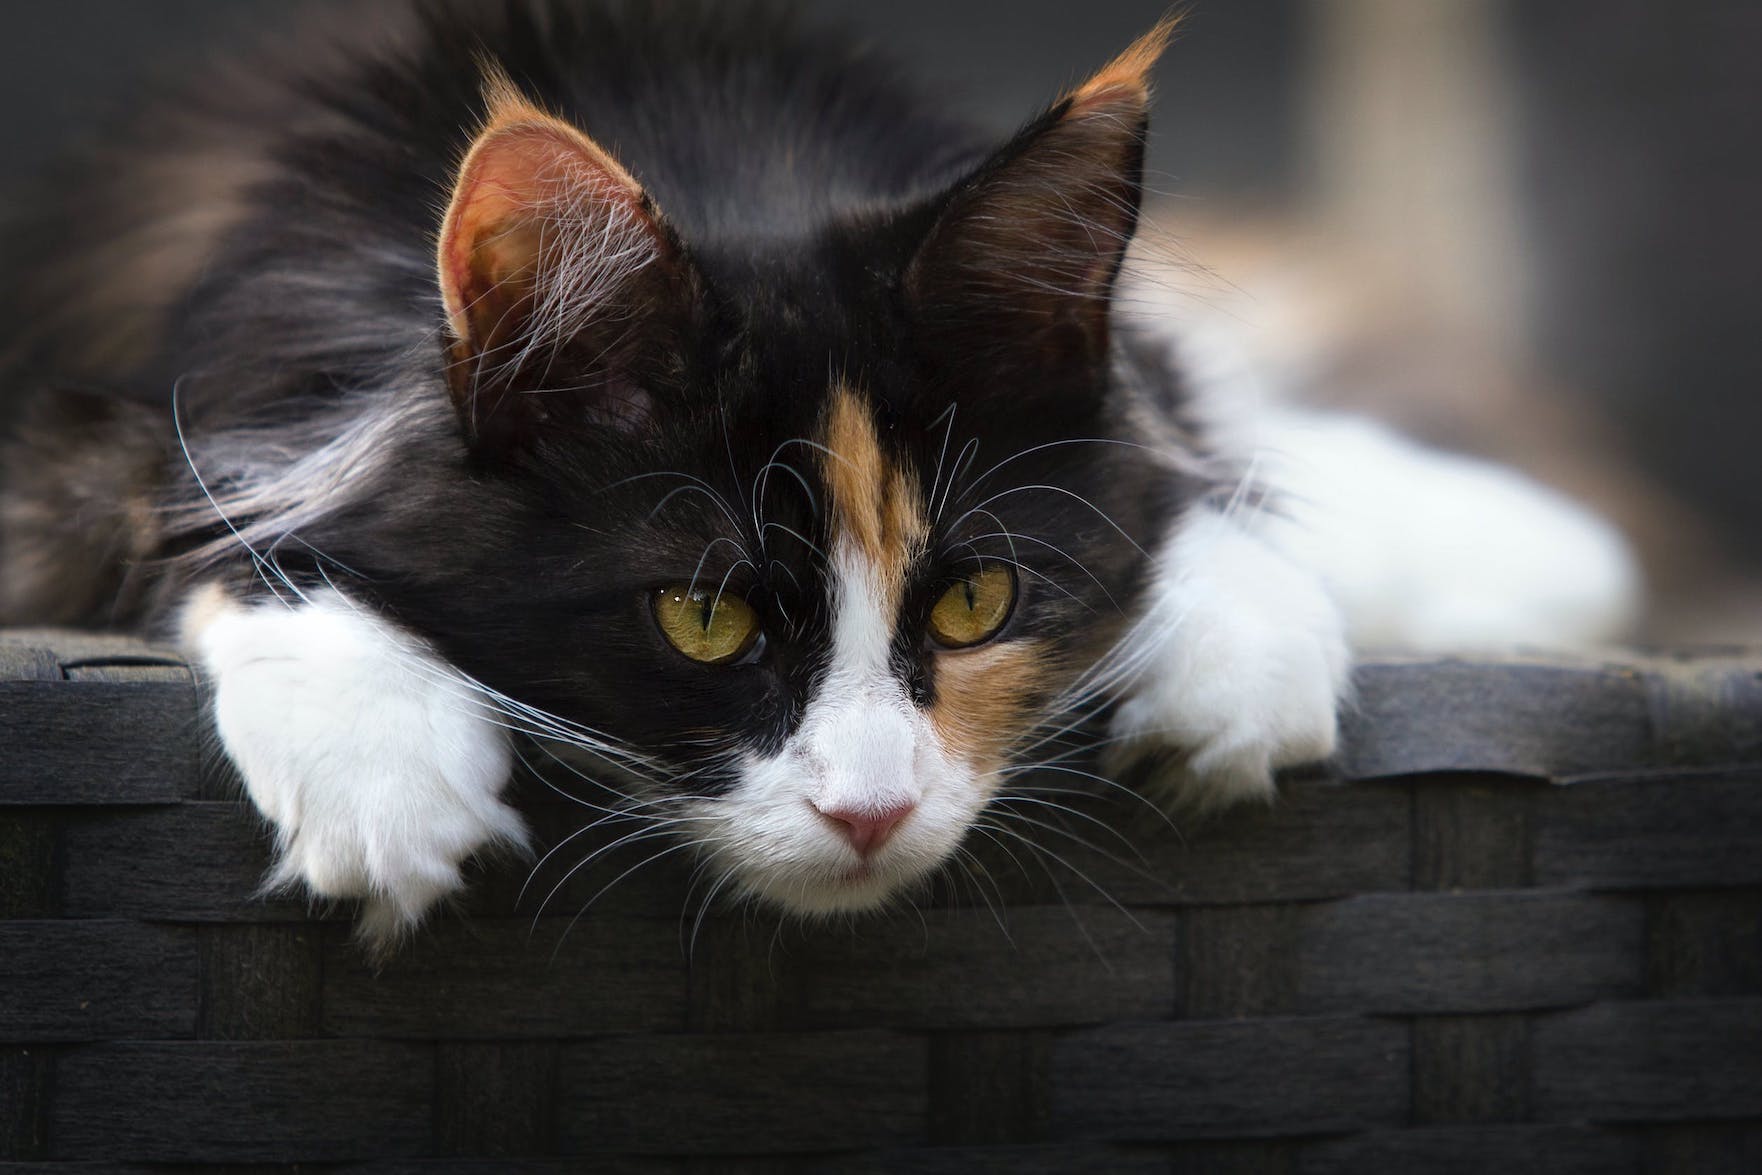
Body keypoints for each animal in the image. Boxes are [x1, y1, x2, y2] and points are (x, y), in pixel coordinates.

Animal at [0, 0, 1635, 951]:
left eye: (976, 601)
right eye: (705, 617)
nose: (869, 811)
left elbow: (1188, 451)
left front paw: (1239, 652)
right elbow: (180, 507)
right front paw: (377, 762)